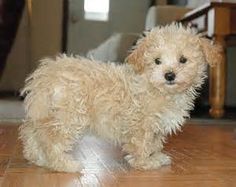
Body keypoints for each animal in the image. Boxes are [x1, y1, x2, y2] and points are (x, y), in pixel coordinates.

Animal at [18, 23, 221, 172]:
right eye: (157, 61)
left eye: (183, 60)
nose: (169, 75)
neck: (154, 86)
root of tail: (45, 74)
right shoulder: (141, 124)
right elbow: (142, 144)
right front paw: (145, 163)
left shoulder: (156, 127)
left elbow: (154, 144)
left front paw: (155, 156)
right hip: (68, 117)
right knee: (52, 141)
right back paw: (64, 165)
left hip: (45, 113)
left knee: (32, 133)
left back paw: (36, 157)